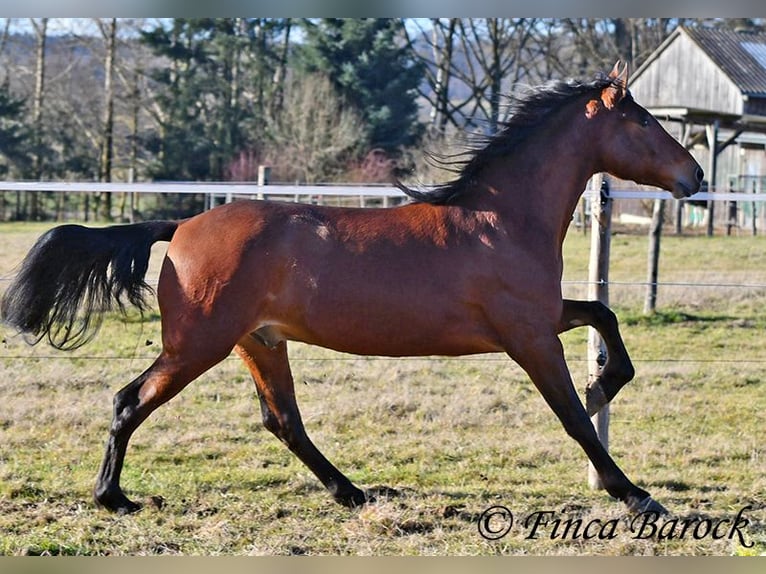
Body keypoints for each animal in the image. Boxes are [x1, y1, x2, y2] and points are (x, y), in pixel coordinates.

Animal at [0, 63, 703, 516]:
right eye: (644, 123)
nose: (694, 175)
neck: (501, 219)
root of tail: (180, 226)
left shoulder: (540, 318)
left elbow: (603, 315)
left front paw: (607, 381)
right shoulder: (528, 336)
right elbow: (576, 418)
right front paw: (635, 494)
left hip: (260, 342)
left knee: (282, 420)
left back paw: (353, 492)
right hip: (198, 344)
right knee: (131, 400)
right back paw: (113, 498)